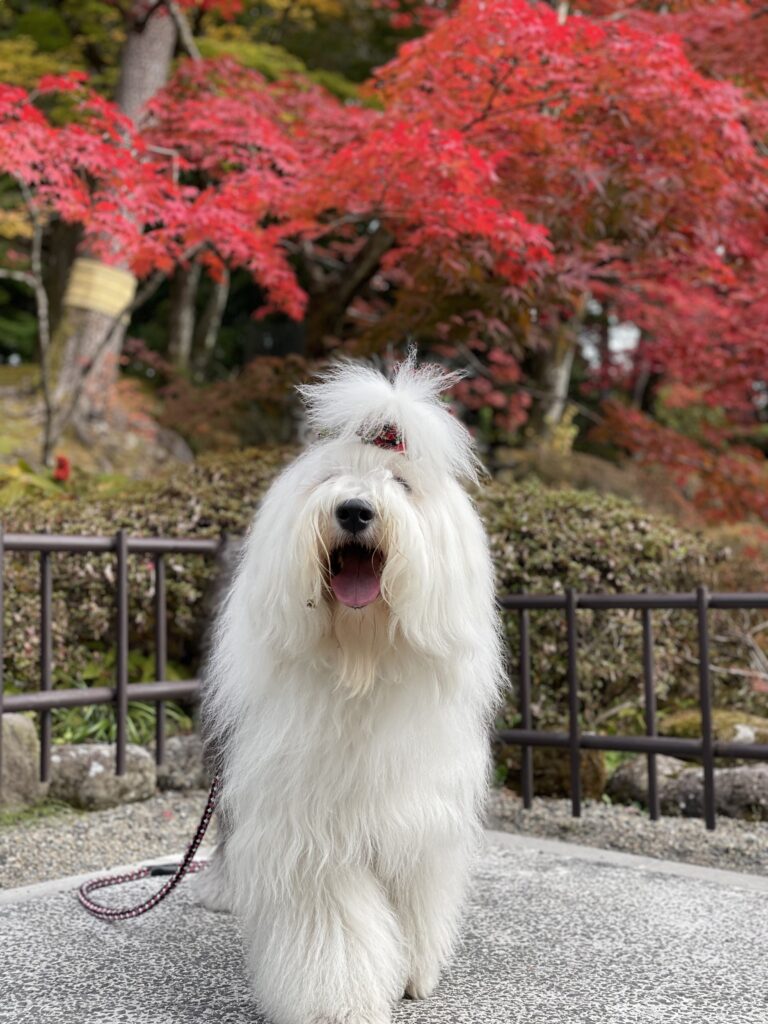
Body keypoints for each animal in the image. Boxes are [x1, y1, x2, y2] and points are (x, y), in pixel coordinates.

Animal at [199, 358, 505, 1024]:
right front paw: (337, 1002)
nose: (356, 511)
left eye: (401, 484)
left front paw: (414, 974)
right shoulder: (307, 821)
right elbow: (334, 918)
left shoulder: (419, 809)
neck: (361, 661)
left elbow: (414, 893)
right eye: (330, 479)